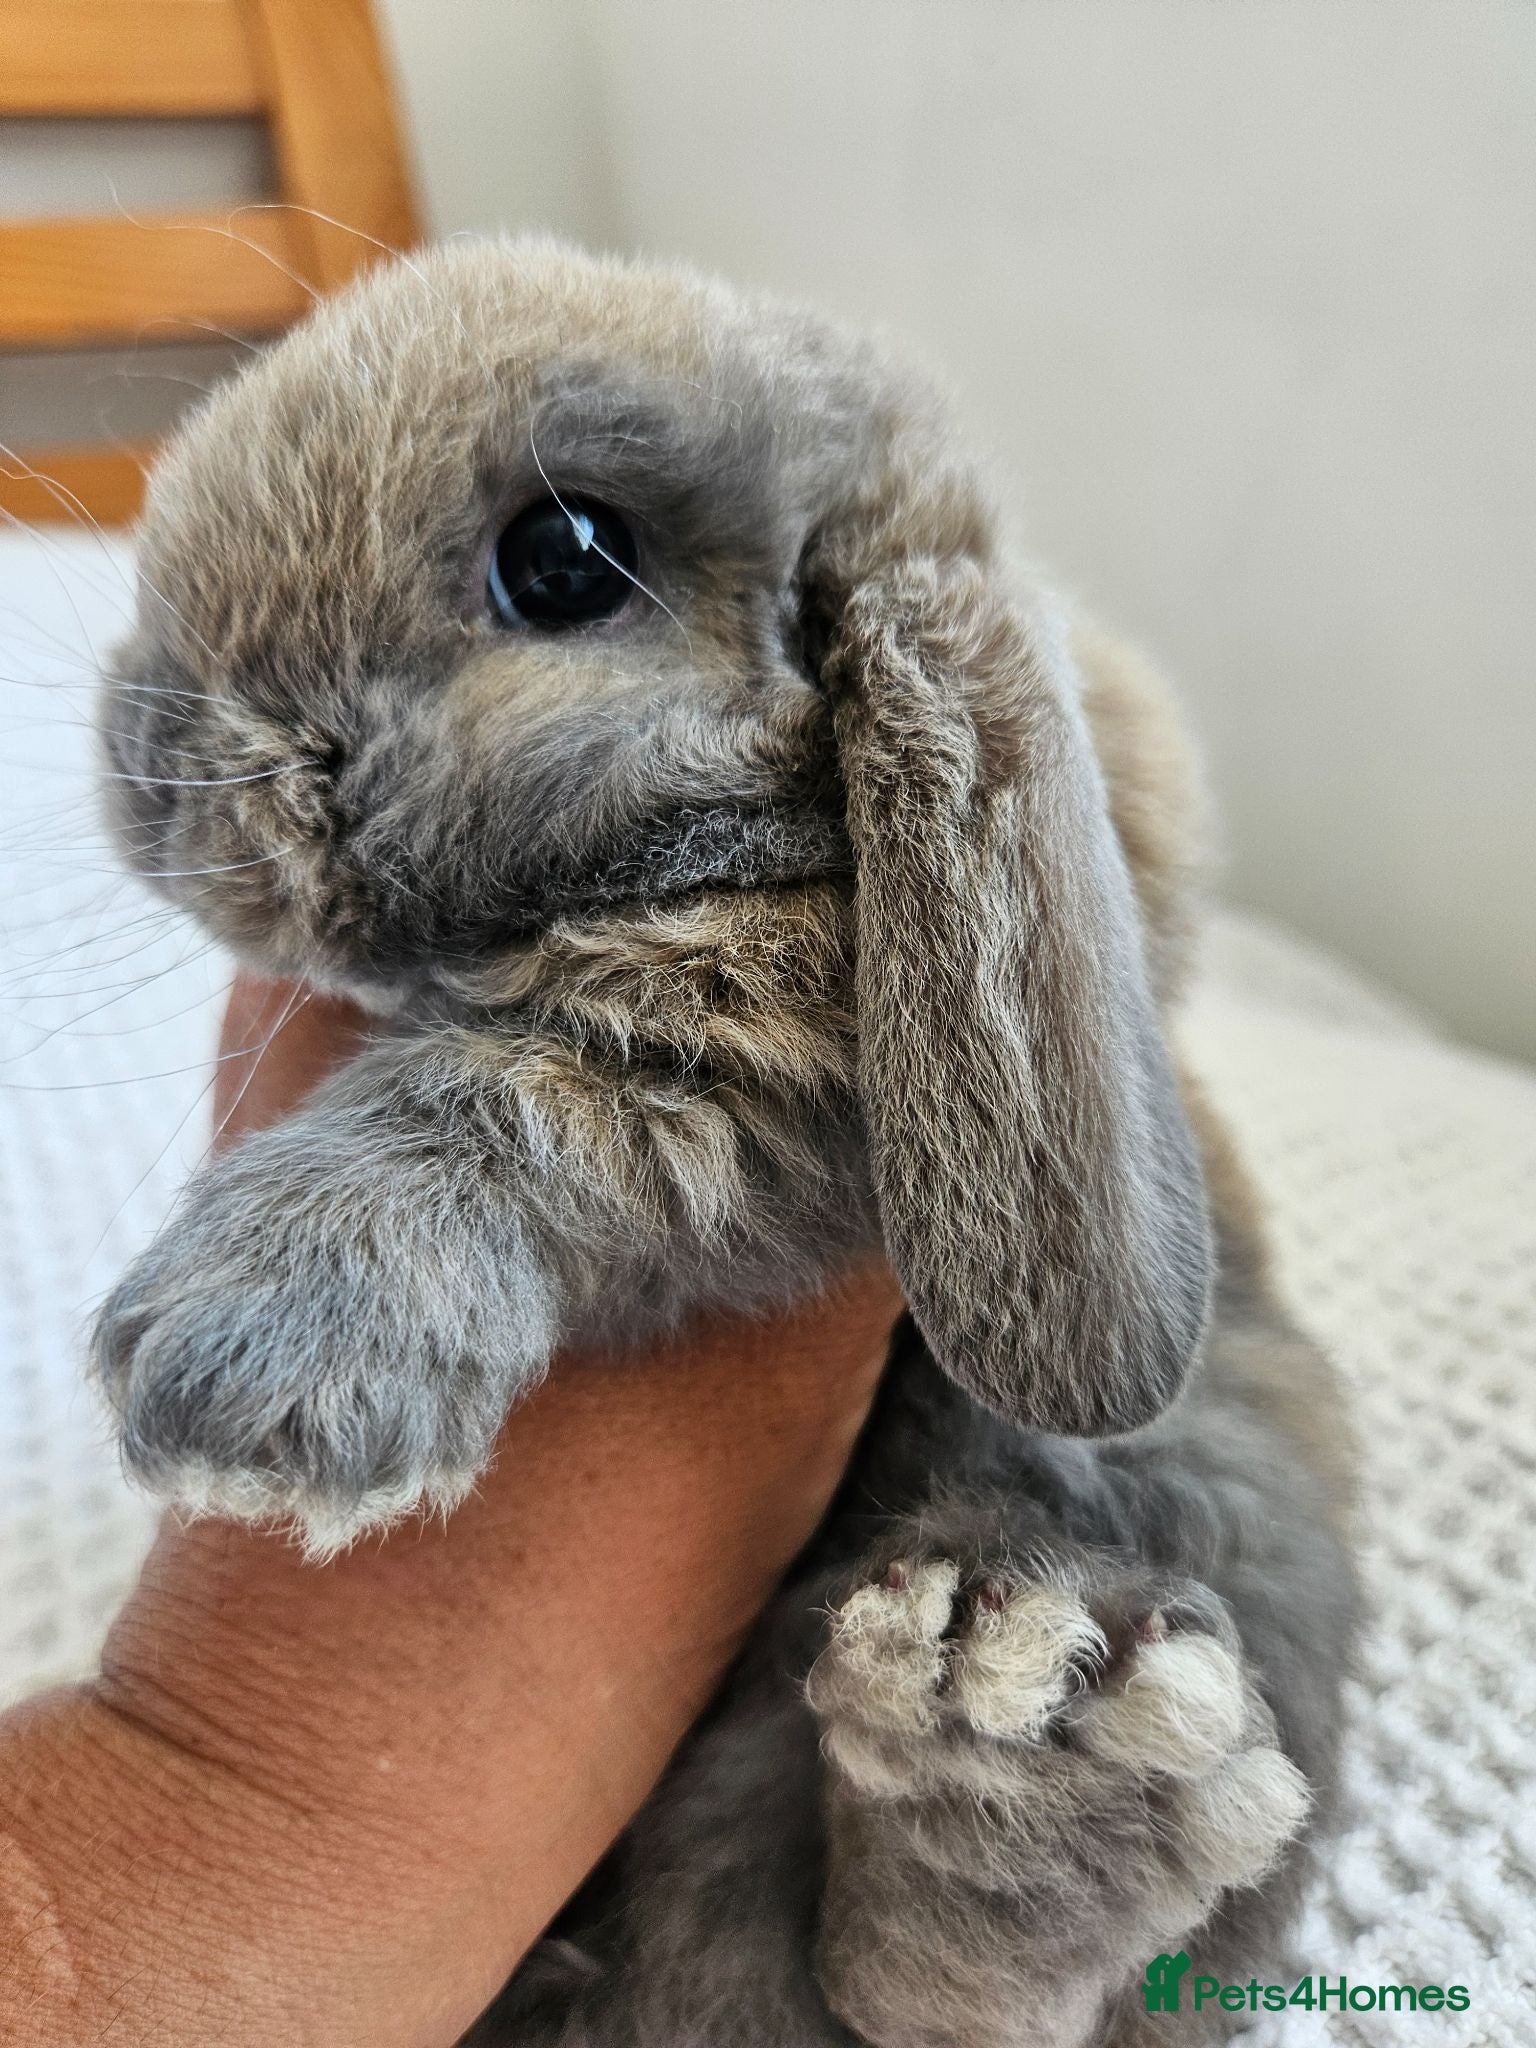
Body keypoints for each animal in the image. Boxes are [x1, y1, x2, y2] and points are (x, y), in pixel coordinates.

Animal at [91, 236, 1360, 2047]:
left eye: (564, 561)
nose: (156, 762)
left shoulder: (773, 1061)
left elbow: (553, 1091)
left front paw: (255, 1361)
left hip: (1205, 1479)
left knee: (941, 1997)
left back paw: (1026, 1776)